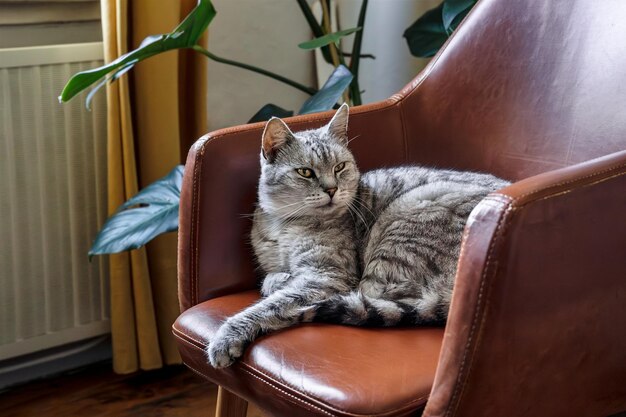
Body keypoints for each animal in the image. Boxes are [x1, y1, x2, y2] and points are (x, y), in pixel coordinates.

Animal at [207, 104, 510, 368]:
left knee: (375, 295)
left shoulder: (327, 274)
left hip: (404, 221)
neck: (285, 223)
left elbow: (272, 304)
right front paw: (278, 278)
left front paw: (227, 336)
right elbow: (270, 279)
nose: (331, 189)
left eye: (340, 167)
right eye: (305, 172)